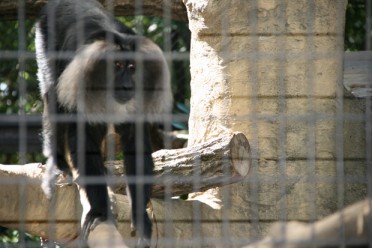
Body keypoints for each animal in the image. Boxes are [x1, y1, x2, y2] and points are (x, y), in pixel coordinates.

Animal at [35, 0, 171, 246]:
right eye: (116, 65)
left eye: (132, 67)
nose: (127, 85)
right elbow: (82, 139)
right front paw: (99, 212)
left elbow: (135, 144)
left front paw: (140, 216)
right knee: (53, 97)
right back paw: (58, 161)